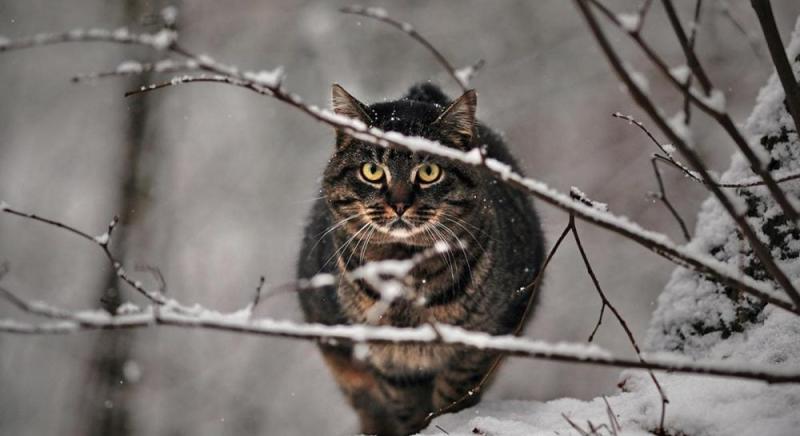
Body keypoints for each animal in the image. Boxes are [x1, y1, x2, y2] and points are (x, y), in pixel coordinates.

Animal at [296, 82, 548, 436]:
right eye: (372, 171)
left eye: (429, 172)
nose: (399, 204)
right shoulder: (388, 359)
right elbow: (406, 406)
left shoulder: (477, 344)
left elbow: (452, 397)